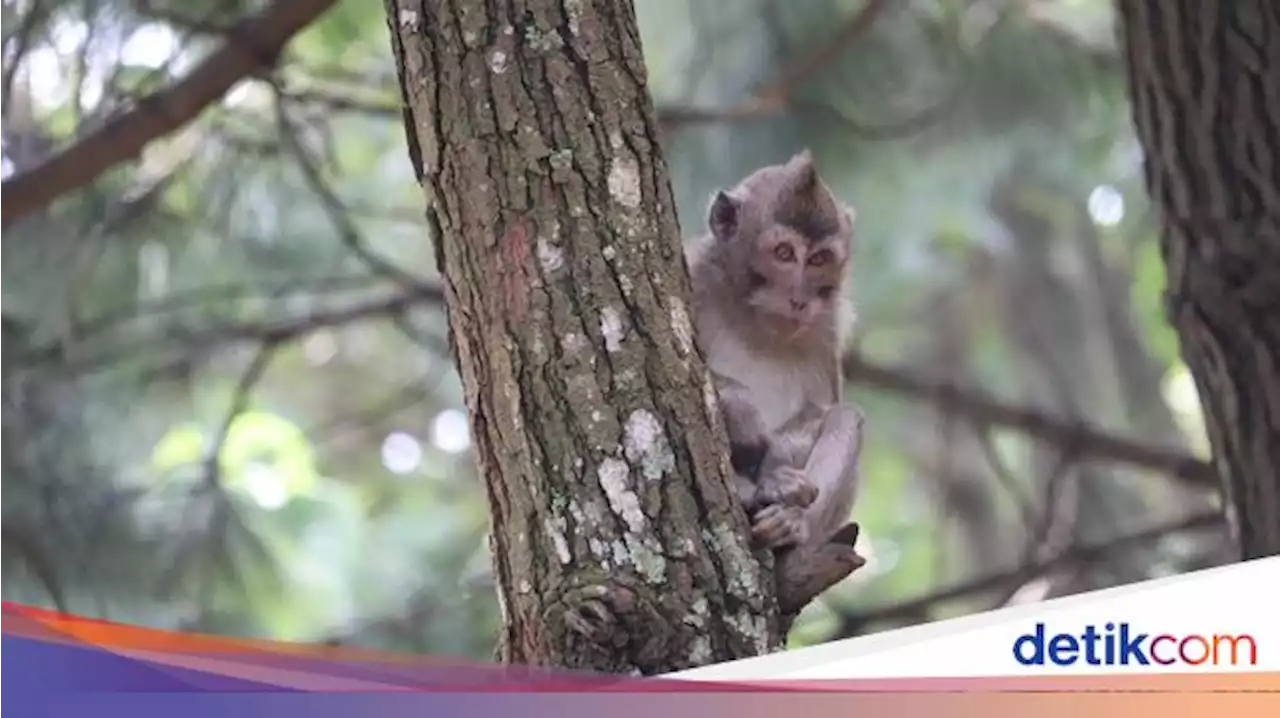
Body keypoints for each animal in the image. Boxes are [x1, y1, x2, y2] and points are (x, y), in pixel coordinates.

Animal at [686, 151, 865, 570]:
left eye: (818, 259)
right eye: (784, 253)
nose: (798, 299)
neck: (753, 320)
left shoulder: (826, 329)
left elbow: (820, 408)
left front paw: (776, 476)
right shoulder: (694, 274)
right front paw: (741, 409)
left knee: (847, 418)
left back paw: (789, 520)